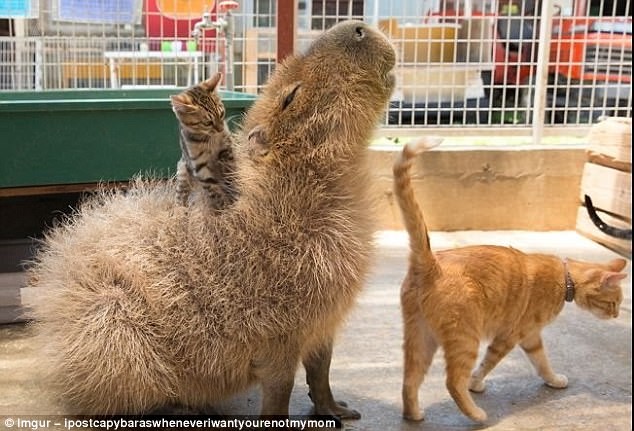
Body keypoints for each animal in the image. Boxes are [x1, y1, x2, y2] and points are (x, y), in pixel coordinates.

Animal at [169, 72, 236, 209]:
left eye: (221, 114)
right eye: (207, 123)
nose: (221, 129)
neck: (208, 140)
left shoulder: (227, 148)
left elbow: (230, 171)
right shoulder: (200, 167)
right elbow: (215, 192)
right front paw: (224, 209)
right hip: (183, 170)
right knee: (180, 195)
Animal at [392, 140, 624, 424]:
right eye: (613, 303)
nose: (616, 316)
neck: (564, 278)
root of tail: (430, 262)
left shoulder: (531, 337)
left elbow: (542, 362)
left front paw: (553, 380)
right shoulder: (510, 336)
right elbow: (489, 363)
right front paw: (476, 384)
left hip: (419, 338)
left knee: (409, 379)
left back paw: (414, 414)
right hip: (465, 338)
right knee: (452, 381)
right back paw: (477, 415)